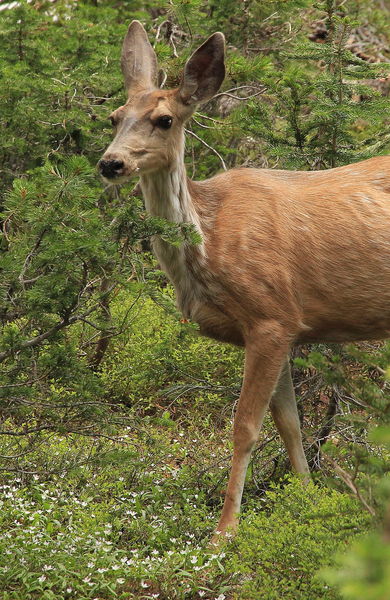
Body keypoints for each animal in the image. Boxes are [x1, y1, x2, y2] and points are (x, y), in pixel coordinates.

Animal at [98, 21, 390, 540]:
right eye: (114, 117)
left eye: (164, 120)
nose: (111, 163)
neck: (208, 242)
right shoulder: (286, 328)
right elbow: (289, 422)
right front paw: (306, 499)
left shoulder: (272, 315)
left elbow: (245, 426)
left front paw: (224, 531)